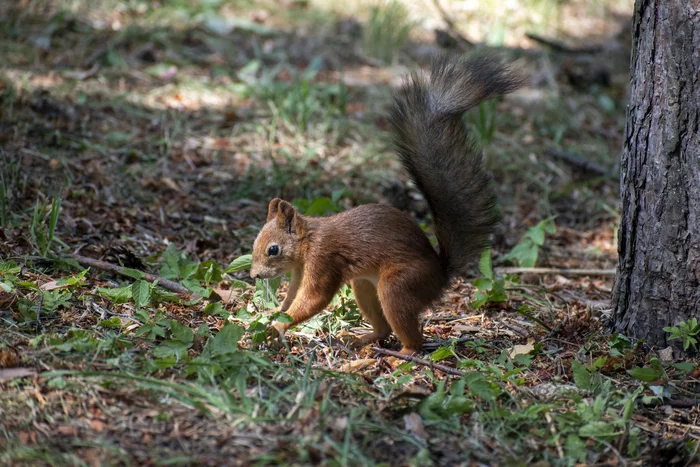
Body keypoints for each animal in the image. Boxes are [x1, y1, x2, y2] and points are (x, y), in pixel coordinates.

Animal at [249, 54, 524, 354]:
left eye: (273, 249)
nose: (254, 276)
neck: (308, 241)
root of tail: (440, 275)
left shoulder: (323, 260)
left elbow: (315, 299)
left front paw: (278, 325)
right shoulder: (299, 272)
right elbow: (292, 297)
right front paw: (272, 313)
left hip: (398, 287)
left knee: (413, 337)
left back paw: (401, 355)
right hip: (364, 285)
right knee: (383, 328)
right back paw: (361, 339)